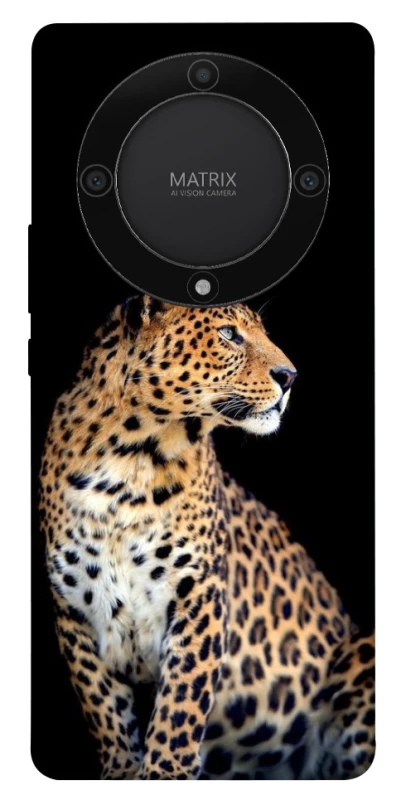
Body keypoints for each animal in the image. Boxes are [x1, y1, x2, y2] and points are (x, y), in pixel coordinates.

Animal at [39, 294, 375, 780]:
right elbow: (104, 709)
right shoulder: (74, 611)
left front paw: (164, 774)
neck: (128, 462)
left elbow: (179, 710)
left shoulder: (199, 595)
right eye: (229, 334)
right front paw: (122, 772)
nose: (290, 376)